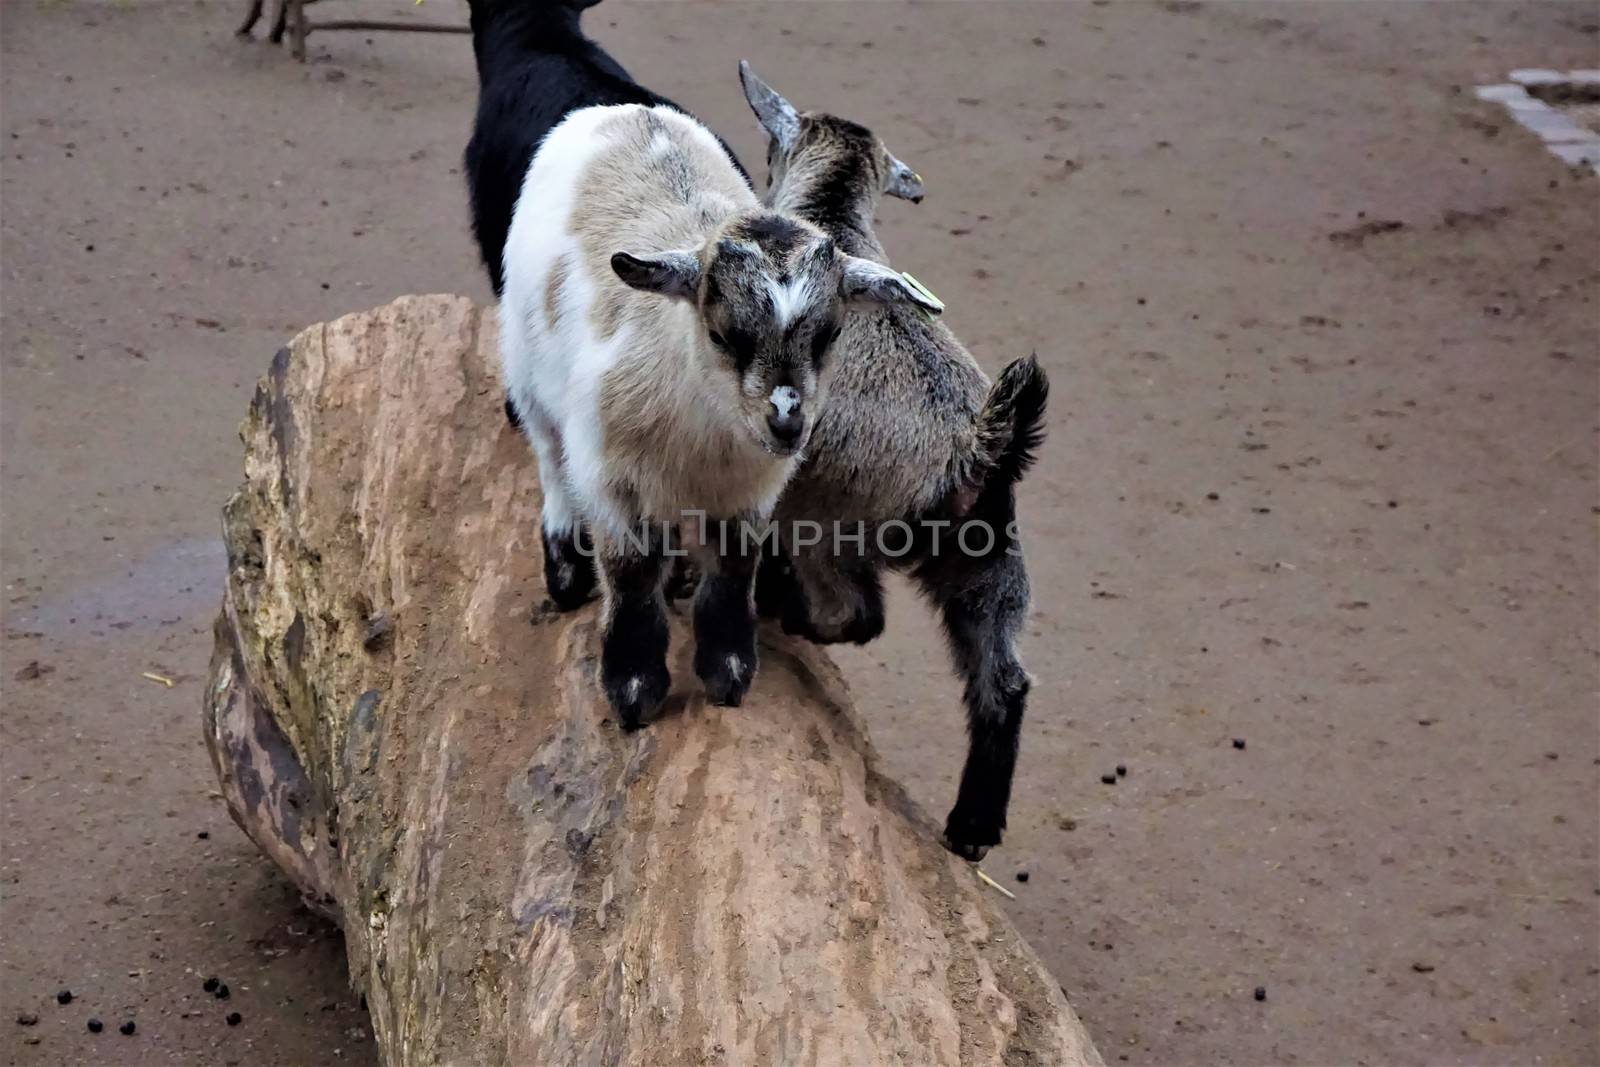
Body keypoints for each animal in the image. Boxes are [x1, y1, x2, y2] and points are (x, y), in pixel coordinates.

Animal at [739, 64, 1049, 857]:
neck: (833, 223)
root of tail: (974, 452)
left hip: (829, 522)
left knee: (858, 614)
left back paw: (788, 612)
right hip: (988, 565)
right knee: (1003, 681)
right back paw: (971, 827)